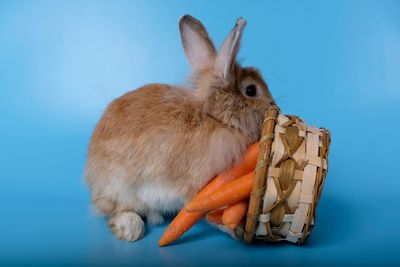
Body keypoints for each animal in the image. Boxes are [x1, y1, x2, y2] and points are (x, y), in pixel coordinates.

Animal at [85, 15, 276, 244]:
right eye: (251, 90)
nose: (275, 106)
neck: (218, 120)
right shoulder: (199, 188)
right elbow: (207, 209)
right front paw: (235, 229)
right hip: (122, 188)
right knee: (117, 211)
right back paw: (130, 228)